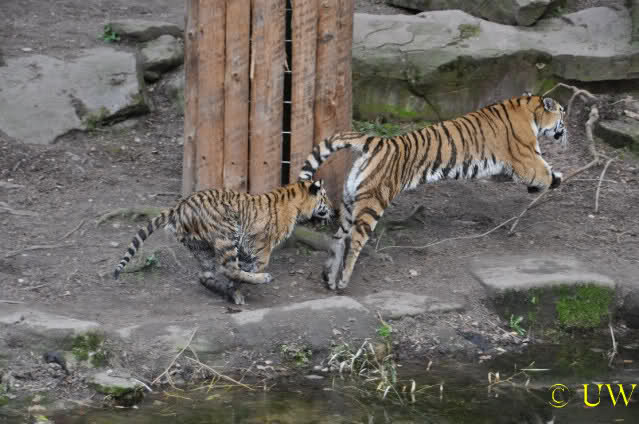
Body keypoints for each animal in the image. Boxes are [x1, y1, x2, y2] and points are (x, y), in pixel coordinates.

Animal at [112, 179, 332, 304]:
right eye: (325, 197)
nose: (333, 209)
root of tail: (180, 205)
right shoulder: (261, 248)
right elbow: (250, 268)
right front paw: (241, 285)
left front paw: (233, 289)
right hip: (226, 234)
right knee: (228, 268)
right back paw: (258, 281)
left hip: (201, 247)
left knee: (205, 275)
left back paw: (225, 292)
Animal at [298, 94, 567, 292]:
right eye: (563, 113)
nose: (566, 130)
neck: (531, 110)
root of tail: (377, 141)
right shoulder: (527, 159)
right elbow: (544, 172)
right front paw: (555, 180)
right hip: (372, 203)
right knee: (354, 241)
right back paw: (343, 280)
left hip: (349, 202)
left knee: (337, 239)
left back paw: (329, 277)